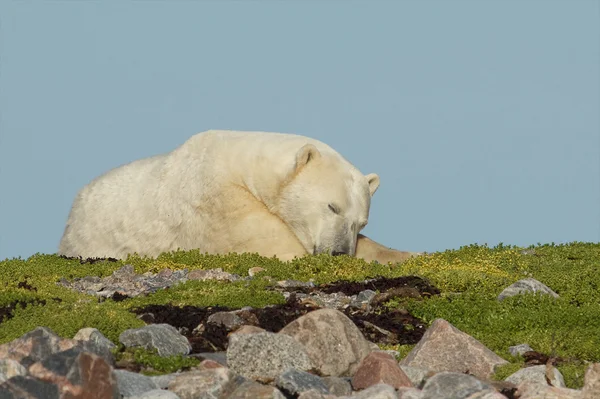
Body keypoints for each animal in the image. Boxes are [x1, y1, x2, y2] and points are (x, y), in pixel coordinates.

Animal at [58, 130, 420, 264]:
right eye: (332, 206)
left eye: (361, 222)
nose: (339, 253)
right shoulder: (219, 204)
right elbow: (276, 248)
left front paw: (400, 254)